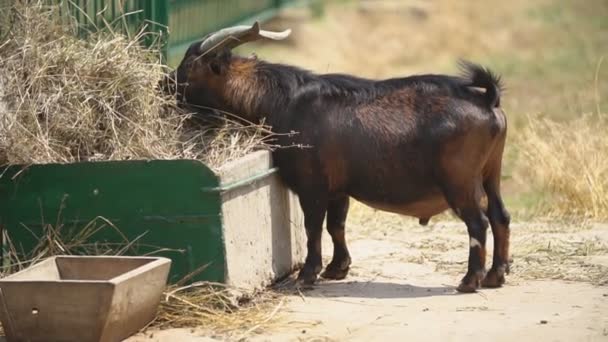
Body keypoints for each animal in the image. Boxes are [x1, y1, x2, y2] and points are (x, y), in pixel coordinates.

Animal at [166, 22, 512, 294]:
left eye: (189, 69)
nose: (163, 86)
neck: (282, 101)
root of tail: (487, 100)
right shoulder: (338, 188)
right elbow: (336, 225)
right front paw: (337, 268)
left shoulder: (312, 185)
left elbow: (313, 228)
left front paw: (307, 275)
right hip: (491, 172)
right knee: (500, 216)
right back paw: (495, 276)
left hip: (459, 181)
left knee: (478, 223)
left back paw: (469, 281)